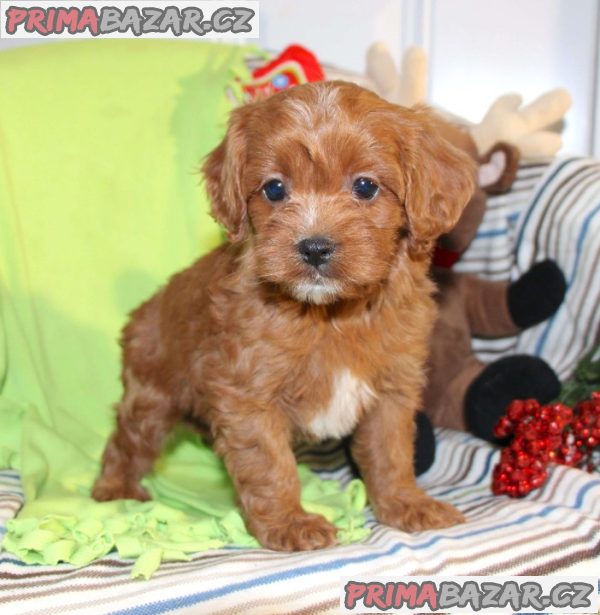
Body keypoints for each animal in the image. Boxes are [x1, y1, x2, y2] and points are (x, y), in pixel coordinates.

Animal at [94, 80, 476, 548]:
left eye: (365, 187)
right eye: (275, 189)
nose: (314, 247)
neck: (330, 314)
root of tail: (145, 310)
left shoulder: (393, 388)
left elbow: (391, 453)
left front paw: (406, 504)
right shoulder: (248, 395)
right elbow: (269, 464)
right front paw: (289, 523)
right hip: (151, 396)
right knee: (128, 439)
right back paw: (114, 489)